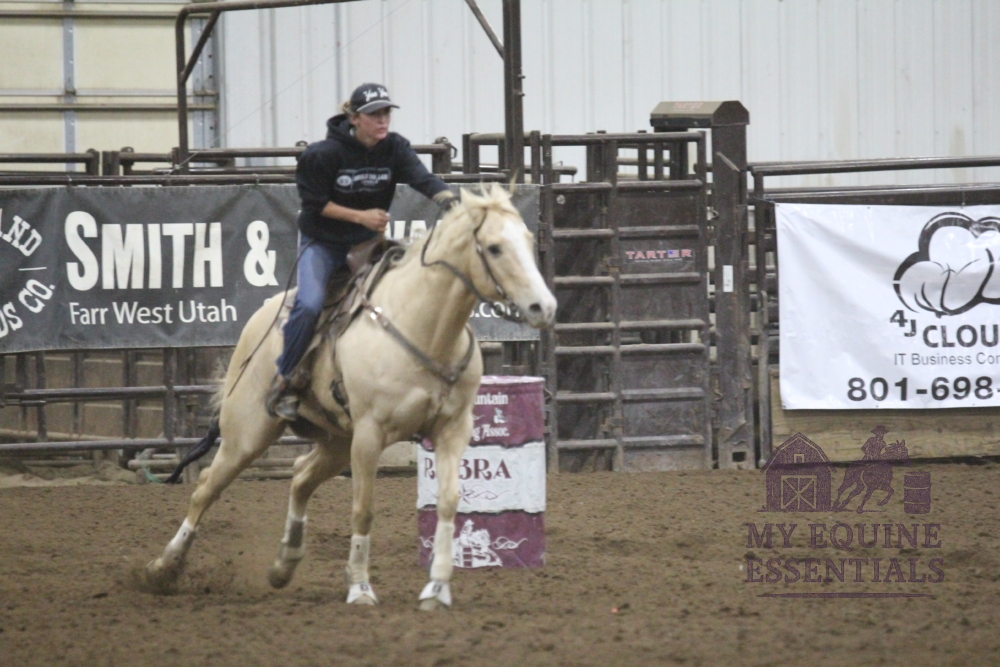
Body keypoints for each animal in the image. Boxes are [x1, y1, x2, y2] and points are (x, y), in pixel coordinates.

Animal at [141, 184, 556, 610]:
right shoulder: (370, 435)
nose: (544, 307)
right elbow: (363, 510)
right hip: (249, 433)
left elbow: (449, 501)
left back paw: (284, 563)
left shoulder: (453, 429)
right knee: (208, 485)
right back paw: (164, 568)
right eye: (494, 248)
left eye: (528, 241)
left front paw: (437, 587)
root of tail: (259, 317)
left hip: (337, 441)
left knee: (300, 475)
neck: (424, 327)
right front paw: (359, 586)